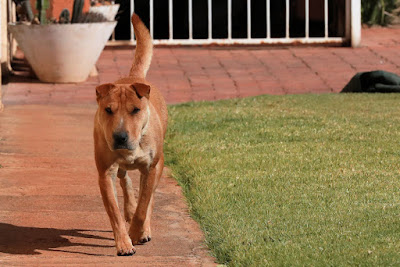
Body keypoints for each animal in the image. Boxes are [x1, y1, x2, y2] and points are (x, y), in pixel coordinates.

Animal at [94, 13, 167, 256]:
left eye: (135, 109)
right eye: (109, 110)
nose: (120, 137)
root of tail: (133, 76)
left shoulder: (152, 167)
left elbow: (144, 205)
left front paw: (137, 232)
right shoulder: (104, 173)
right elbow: (114, 213)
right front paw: (124, 243)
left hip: (158, 165)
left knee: (149, 197)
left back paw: (144, 228)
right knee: (125, 180)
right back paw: (129, 208)